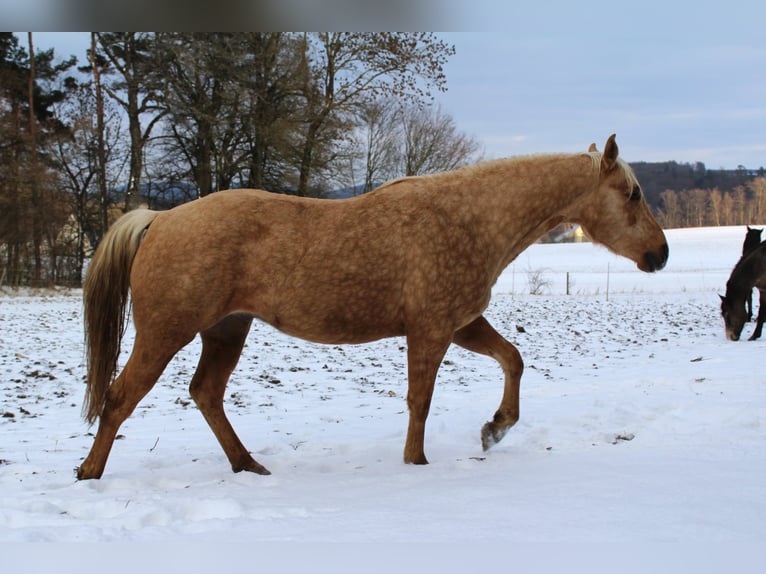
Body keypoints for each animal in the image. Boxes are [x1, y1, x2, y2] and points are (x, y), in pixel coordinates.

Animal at [76, 134, 669, 480]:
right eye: (633, 194)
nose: (660, 254)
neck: (471, 218)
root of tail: (159, 218)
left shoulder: (460, 323)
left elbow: (513, 359)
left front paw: (495, 428)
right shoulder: (431, 330)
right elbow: (420, 401)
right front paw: (416, 464)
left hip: (227, 330)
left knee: (205, 394)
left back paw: (248, 465)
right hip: (165, 333)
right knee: (120, 396)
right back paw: (89, 472)